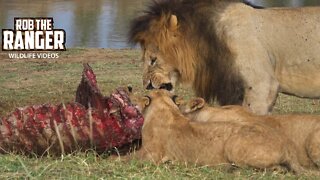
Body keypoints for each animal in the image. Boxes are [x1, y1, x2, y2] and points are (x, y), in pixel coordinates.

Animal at [132, 89, 304, 174]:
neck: (164, 108)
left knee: (275, 169)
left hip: (233, 146)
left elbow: (126, 158)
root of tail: (288, 145)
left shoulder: (150, 156)